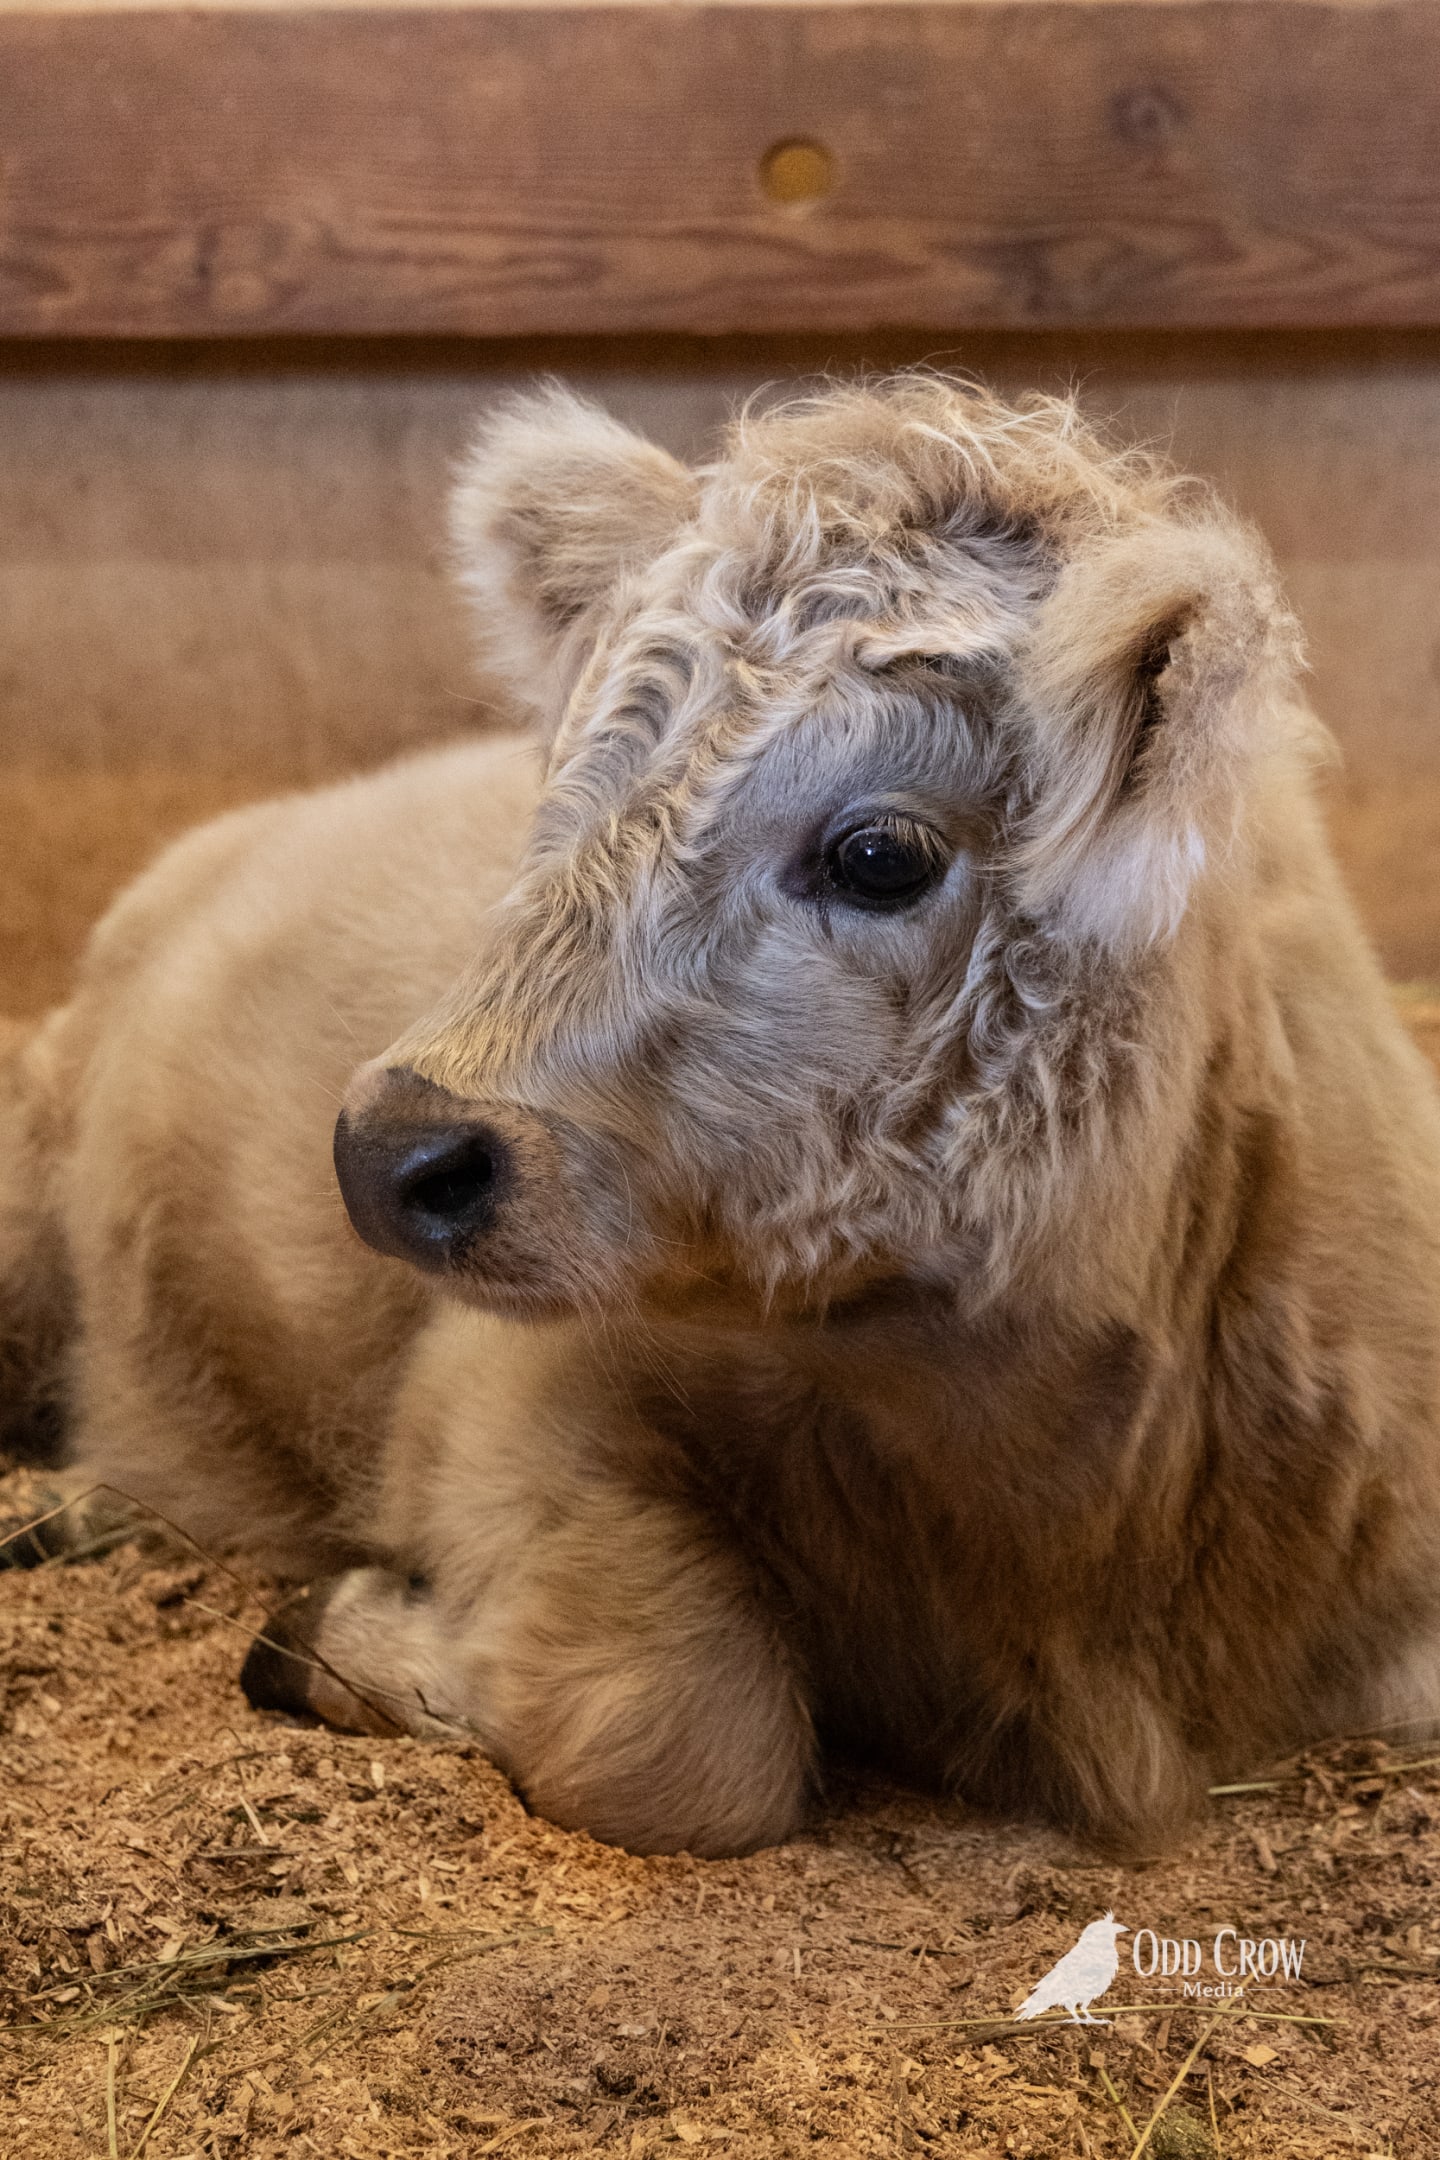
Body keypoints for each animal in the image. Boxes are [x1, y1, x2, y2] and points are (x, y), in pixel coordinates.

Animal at [5, 375, 1440, 1857]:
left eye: (880, 855)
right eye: (565, 793)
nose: (387, 1146)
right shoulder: (502, 1404)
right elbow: (684, 1730)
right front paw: (342, 1634)